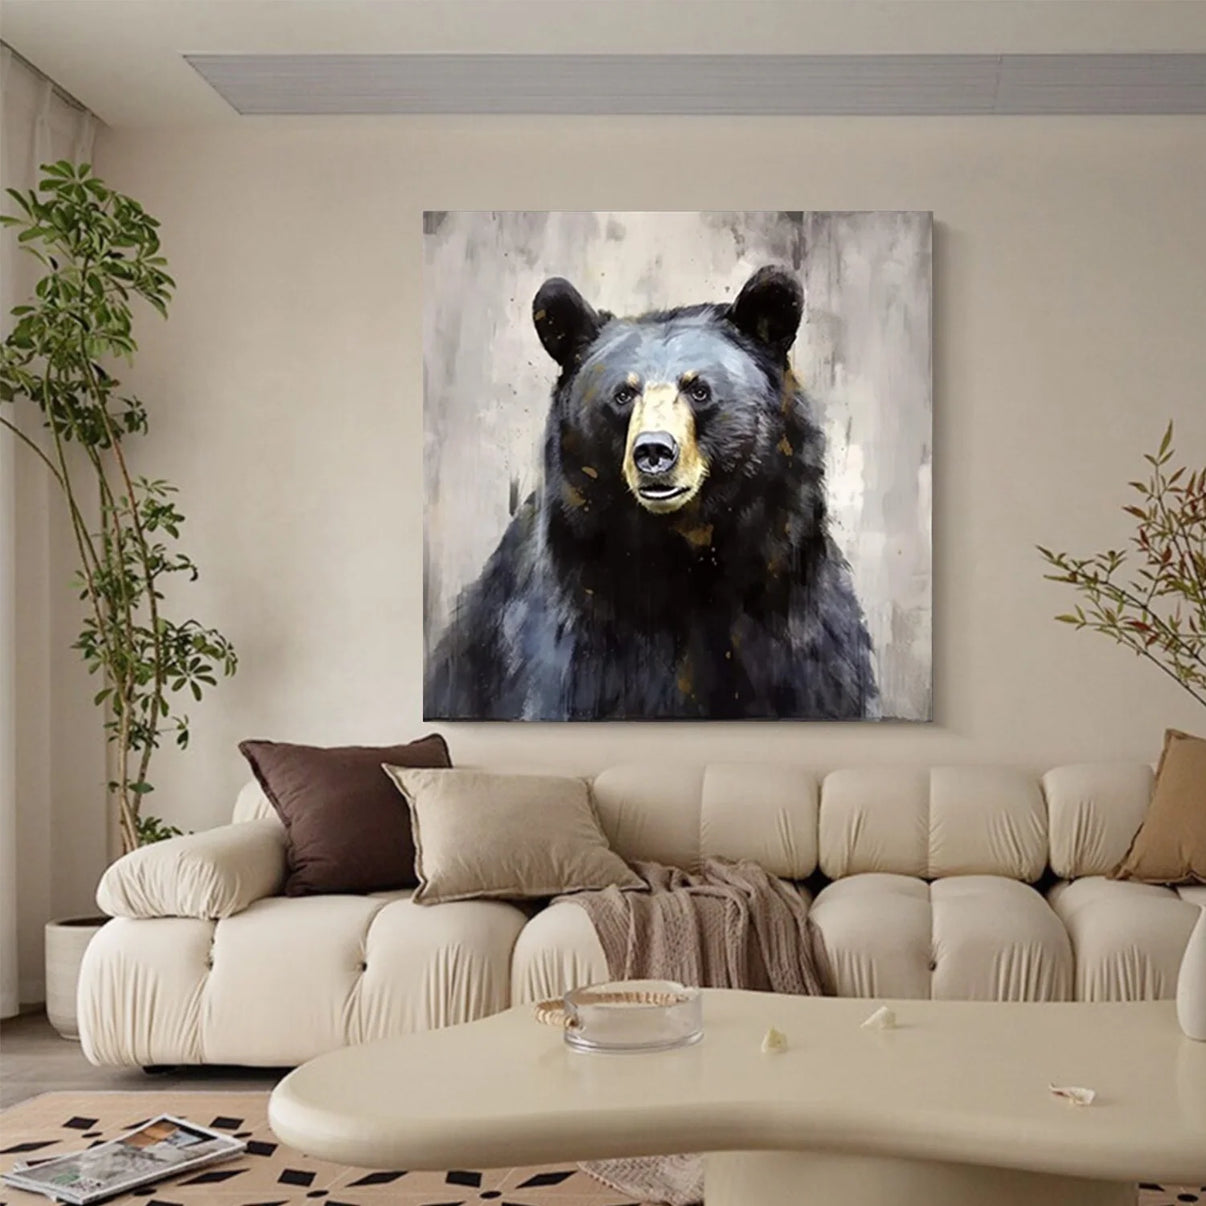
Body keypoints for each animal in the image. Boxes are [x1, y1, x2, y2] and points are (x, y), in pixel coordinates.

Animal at [424, 265, 878, 721]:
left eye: (699, 390)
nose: (654, 451)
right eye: (624, 394)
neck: (683, 554)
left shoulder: (798, 636)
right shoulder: (574, 640)